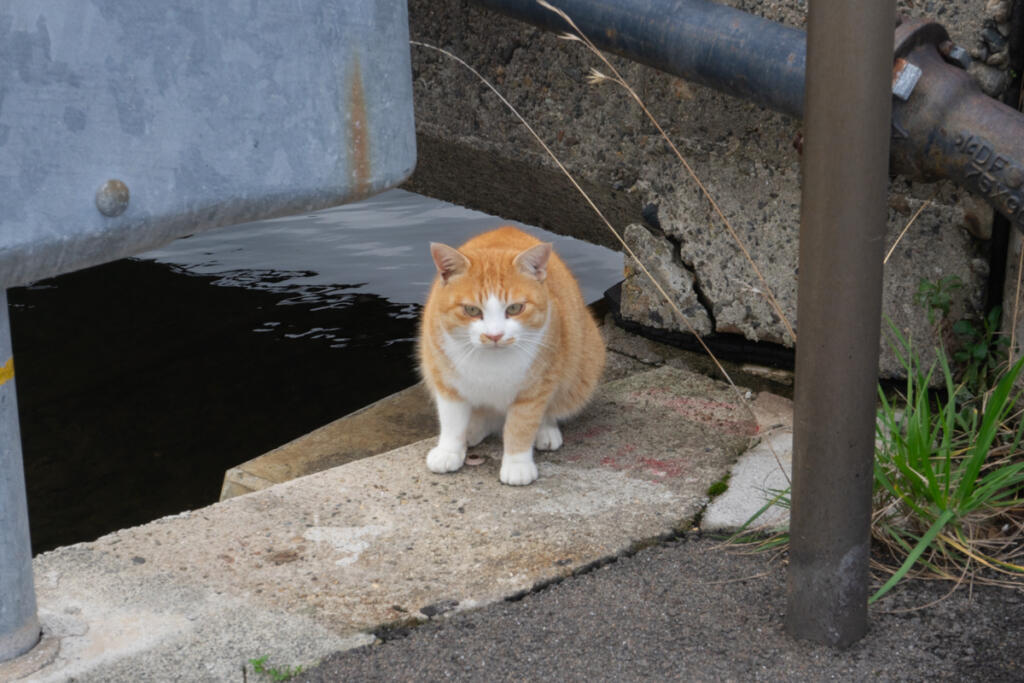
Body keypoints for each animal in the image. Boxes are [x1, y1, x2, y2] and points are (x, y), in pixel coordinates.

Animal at [417, 227, 602, 483]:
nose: (494, 335)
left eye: (514, 308)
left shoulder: (535, 389)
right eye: (471, 310)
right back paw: (472, 429)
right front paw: (449, 450)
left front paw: (517, 464)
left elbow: (521, 425)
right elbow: (452, 420)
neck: (492, 360)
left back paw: (545, 430)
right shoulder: (445, 379)